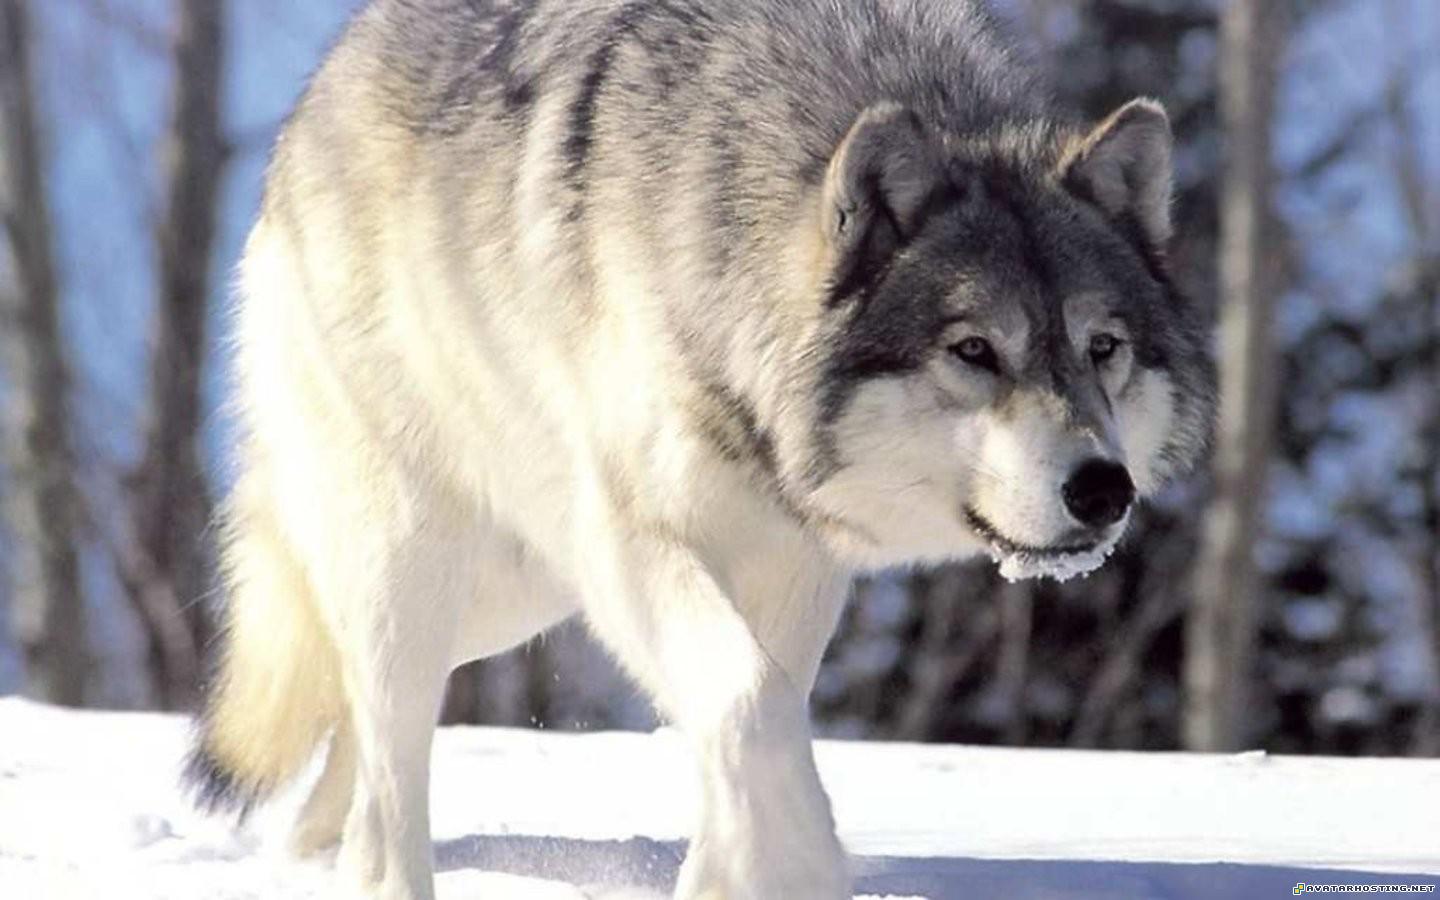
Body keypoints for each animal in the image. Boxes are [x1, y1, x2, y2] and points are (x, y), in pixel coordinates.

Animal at [186, 0, 1215, 897]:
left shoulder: (795, 561)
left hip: (514, 593)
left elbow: (756, 722)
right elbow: (752, 705)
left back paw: (303, 852)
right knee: (385, 760)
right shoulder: (632, 543)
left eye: (1102, 349)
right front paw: (803, 862)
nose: (1104, 492)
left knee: (350, 719)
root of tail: (322, 88)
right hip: (427, 561)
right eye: (974, 351)